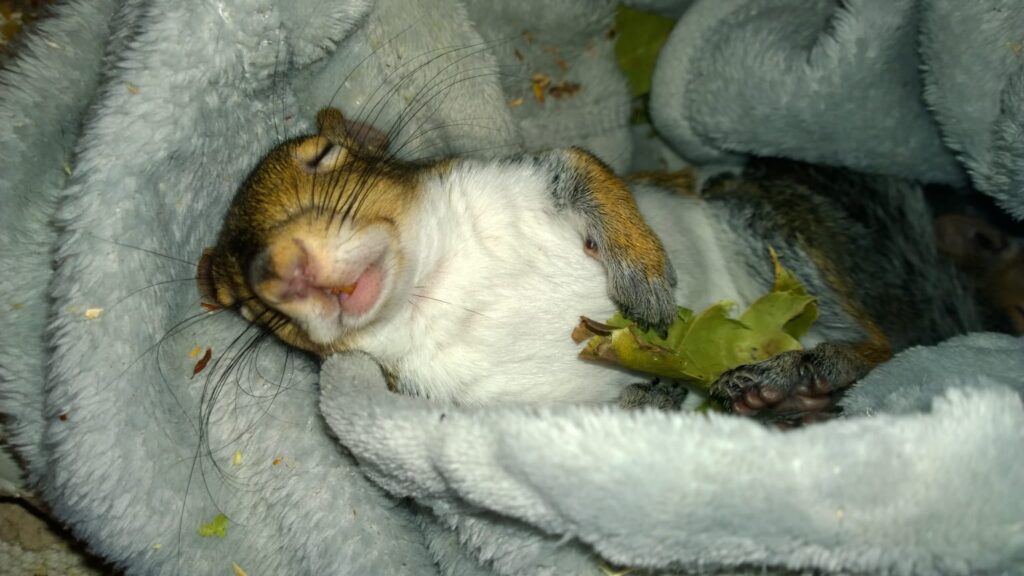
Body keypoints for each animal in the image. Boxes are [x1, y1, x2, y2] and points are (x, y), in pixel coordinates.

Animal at [197, 107, 988, 420]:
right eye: (245, 307)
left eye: (325, 155)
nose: (281, 270)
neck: (436, 286)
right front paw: (655, 393)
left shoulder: (532, 174)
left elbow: (591, 172)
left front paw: (643, 278)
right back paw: (782, 399)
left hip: (771, 231)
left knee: (885, 345)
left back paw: (810, 370)